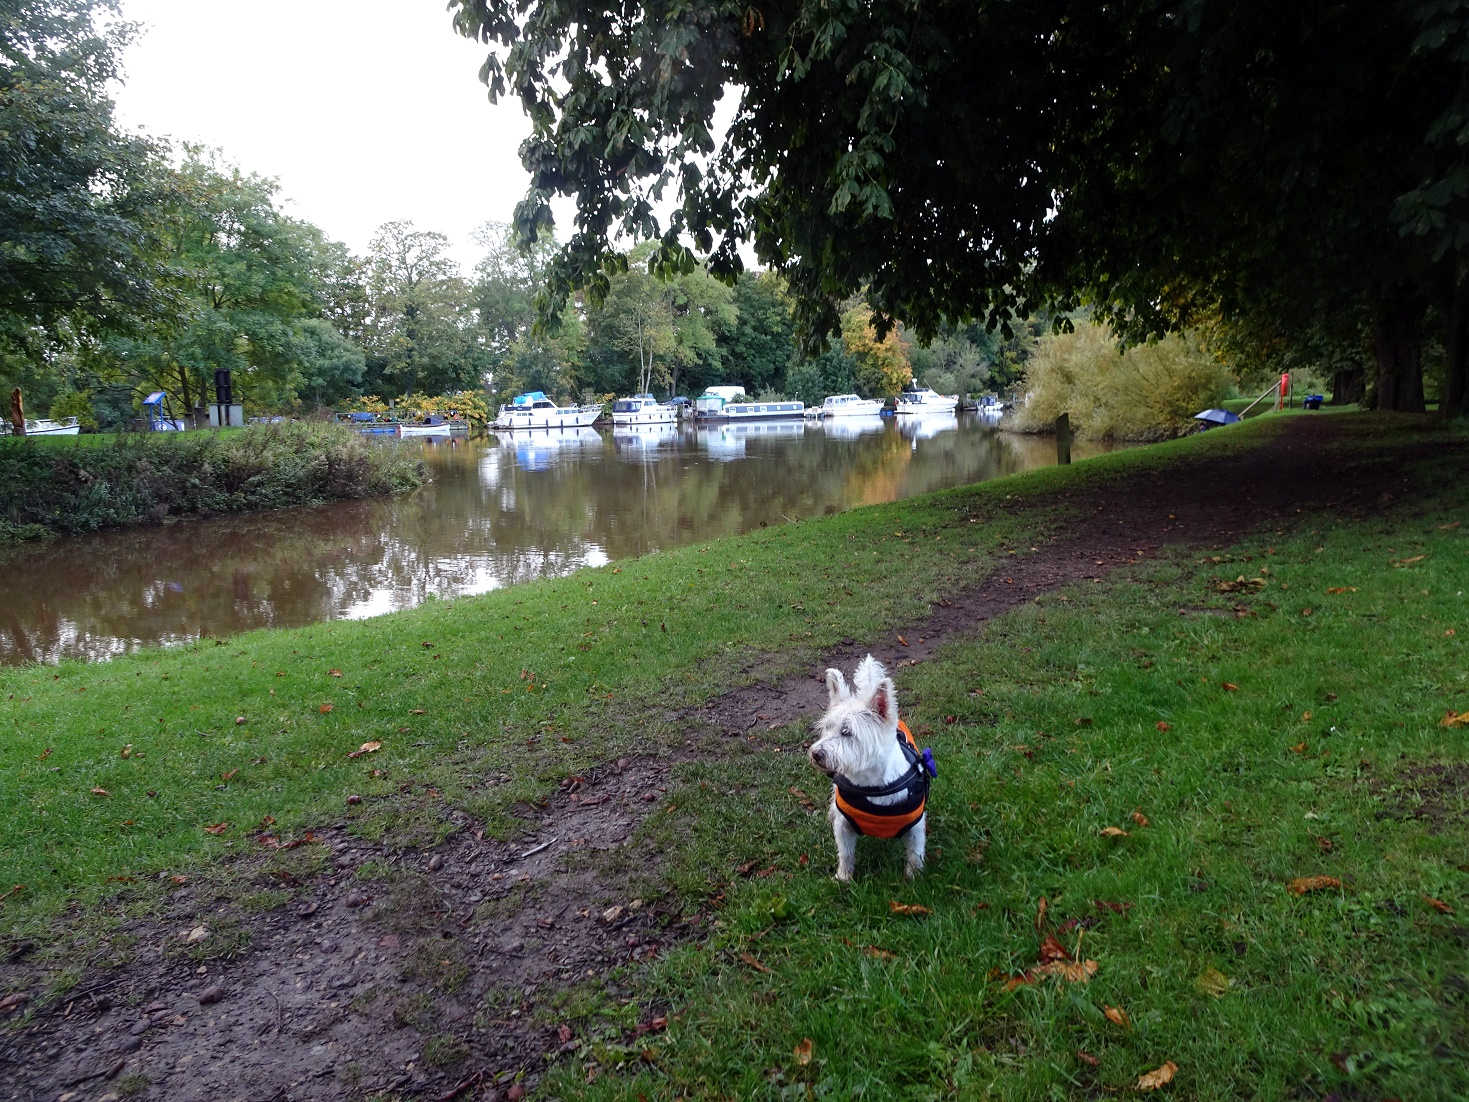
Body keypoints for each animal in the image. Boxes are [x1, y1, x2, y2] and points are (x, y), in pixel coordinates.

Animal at [810, 655, 934, 881]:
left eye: (847, 732)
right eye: (827, 728)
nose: (816, 754)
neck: (872, 785)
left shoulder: (915, 827)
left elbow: (915, 854)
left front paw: (913, 879)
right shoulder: (844, 826)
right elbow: (846, 853)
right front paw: (843, 878)